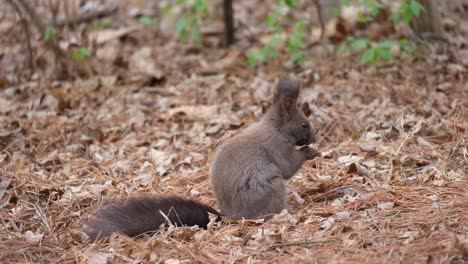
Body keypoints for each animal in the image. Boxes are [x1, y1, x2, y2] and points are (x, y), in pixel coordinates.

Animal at [79, 77, 318, 240]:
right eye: (304, 123)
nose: (314, 137)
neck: (276, 127)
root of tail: (231, 215)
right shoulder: (277, 147)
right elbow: (288, 166)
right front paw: (310, 152)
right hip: (272, 189)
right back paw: (286, 213)